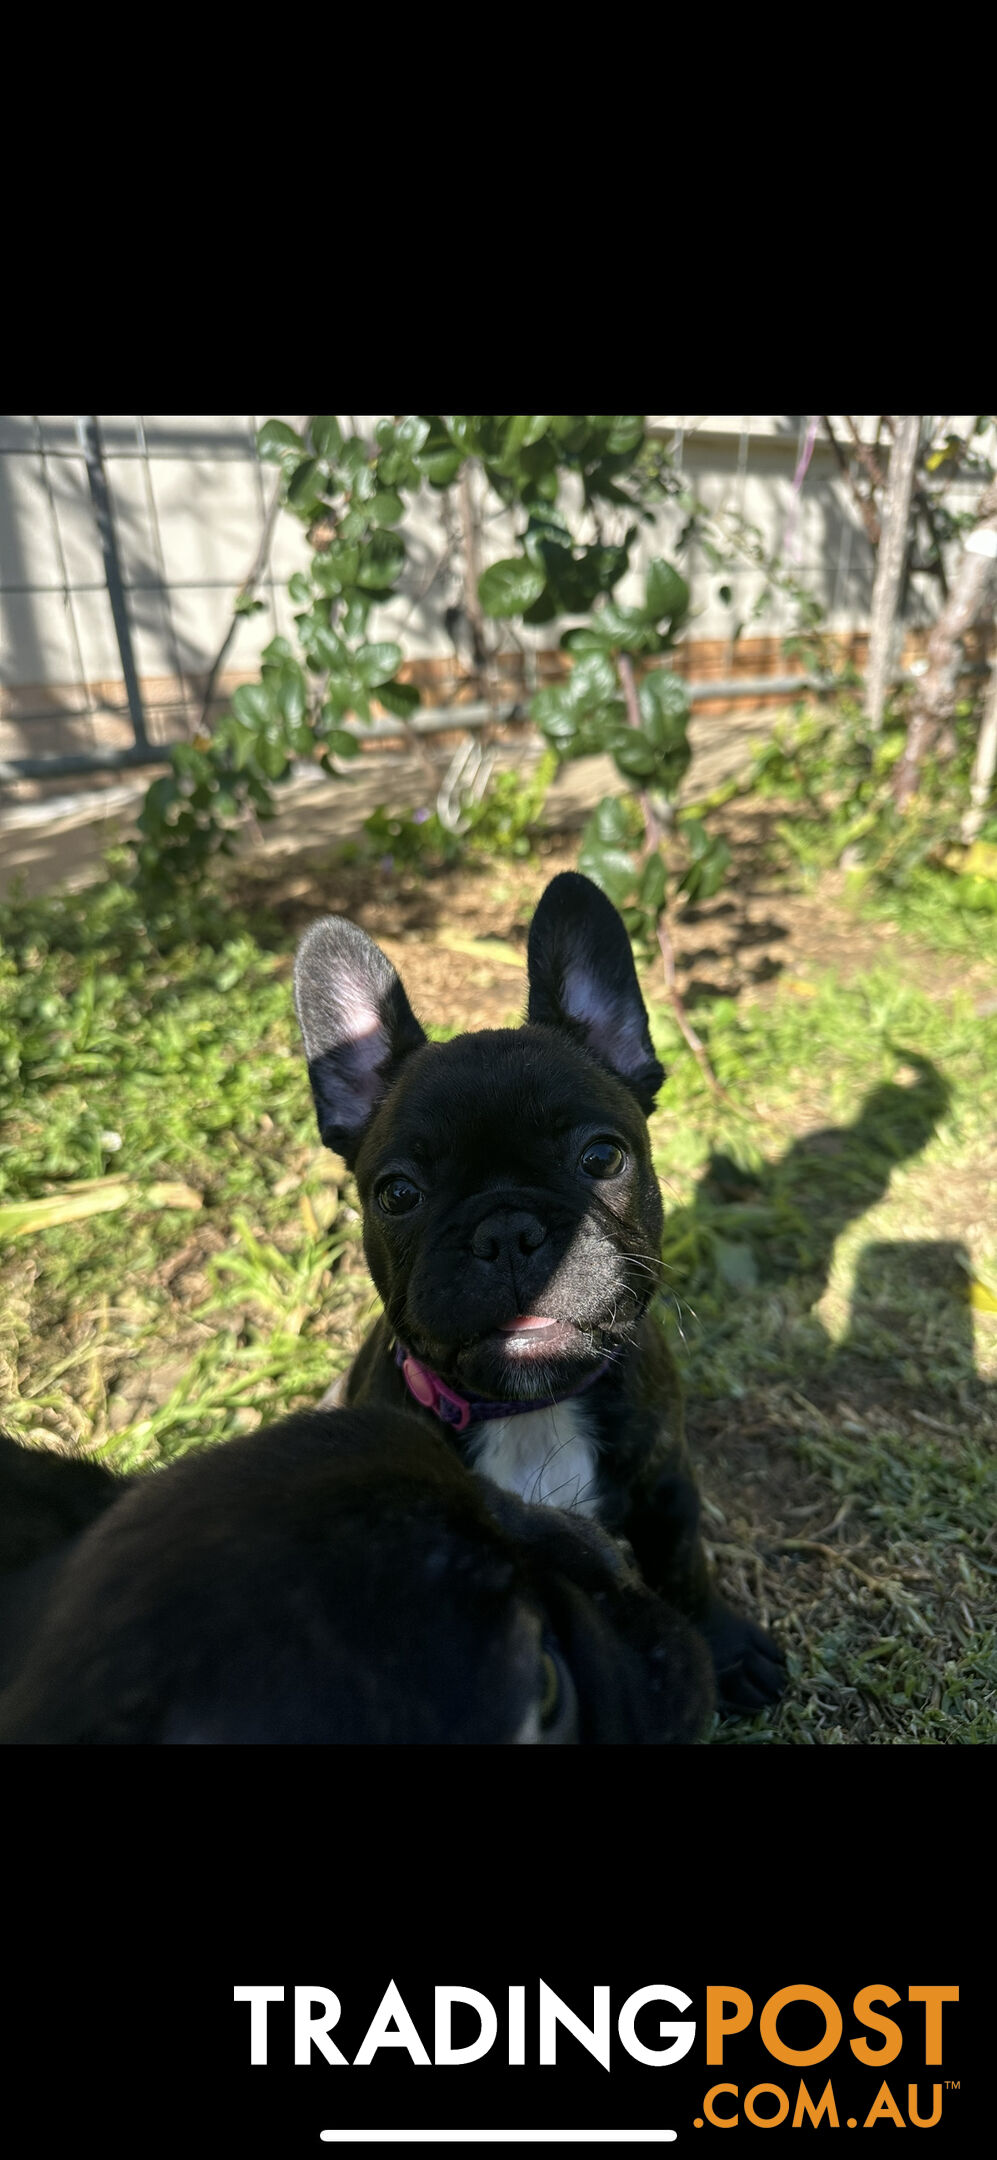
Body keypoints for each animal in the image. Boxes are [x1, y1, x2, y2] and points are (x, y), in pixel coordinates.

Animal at [295, 868, 785, 1710]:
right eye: (397, 1194)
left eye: (601, 1157)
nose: (506, 1231)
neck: (530, 1407)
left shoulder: (666, 1488)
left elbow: (683, 1571)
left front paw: (729, 1653)